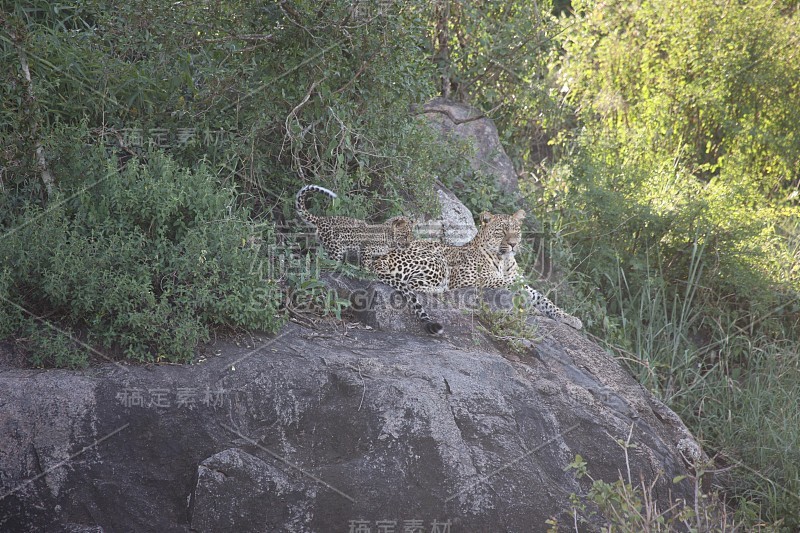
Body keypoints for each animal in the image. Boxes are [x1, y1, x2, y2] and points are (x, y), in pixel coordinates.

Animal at [368, 208, 580, 332]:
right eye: (501, 232)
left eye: (516, 230)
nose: (513, 244)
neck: (504, 260)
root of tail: (380, 259)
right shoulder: (477, 279)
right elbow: (508, 284)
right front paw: (528, 305)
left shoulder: (521, 282)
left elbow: (543, 299)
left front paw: (570, 318)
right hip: (437, 261)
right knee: (414, 284)